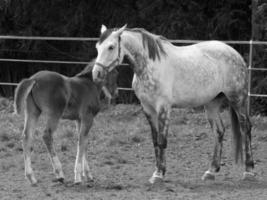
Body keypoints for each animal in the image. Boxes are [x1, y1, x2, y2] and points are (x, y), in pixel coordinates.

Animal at [91, 25, 255, 184]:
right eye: (97, 47)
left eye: (111, 47)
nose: (96, 73)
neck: (150, 66)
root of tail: (234, 53)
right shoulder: (148, 109)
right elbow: (155, 141)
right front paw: (157, 171)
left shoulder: (163, 108)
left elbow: (162, 140)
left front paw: (159, 175)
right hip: (212, 104)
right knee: (219, 131)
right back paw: (211, 171)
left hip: (237, 99)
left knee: (245, 128)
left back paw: (249, 171)